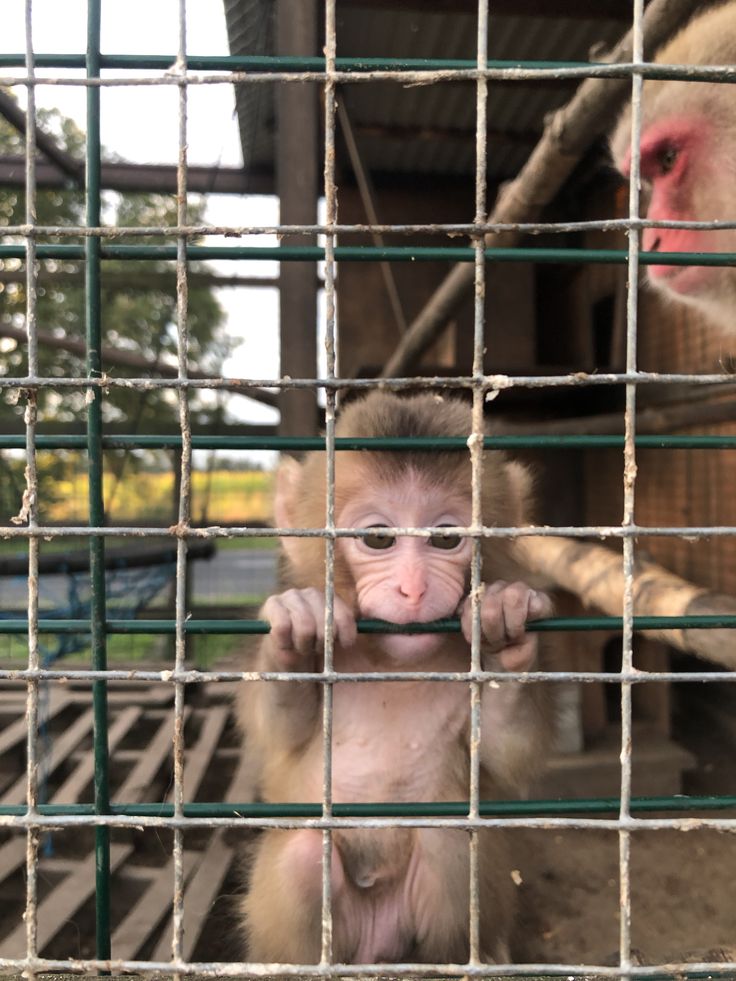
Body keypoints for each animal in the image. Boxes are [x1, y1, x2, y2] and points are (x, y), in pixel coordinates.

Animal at [238, 391, 553, 965]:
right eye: (379, 537)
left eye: (446, 538)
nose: (413, 587)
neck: (390, 660)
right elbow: (279, 732)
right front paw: (297, 629)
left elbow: (509, 751)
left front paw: (504, 625)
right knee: (302, 860)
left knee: (449, 843)